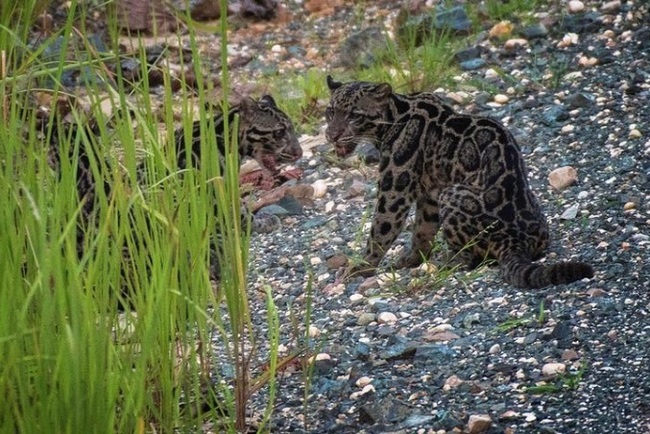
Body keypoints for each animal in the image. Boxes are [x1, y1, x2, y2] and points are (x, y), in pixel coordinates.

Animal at [324, 76, 592, 290]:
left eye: (354, 116)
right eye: (330, 111)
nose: (331, 135)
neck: (395, 114)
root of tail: (516, 240)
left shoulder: (395, 189)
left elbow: (381, 229)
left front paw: (360, 268)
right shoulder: (430, 196)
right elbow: (422, 229)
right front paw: (412, 259)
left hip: (452, 193)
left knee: (472, 257)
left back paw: (448, 261)